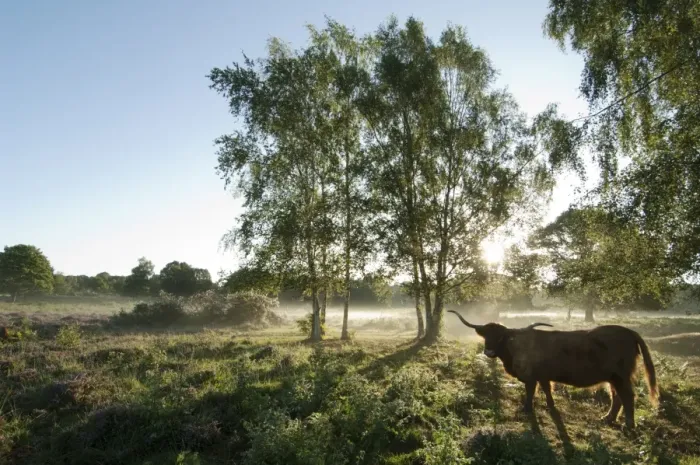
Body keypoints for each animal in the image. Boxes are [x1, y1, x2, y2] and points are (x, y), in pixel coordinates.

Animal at [448, 310, 658, 429]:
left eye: (501, 337)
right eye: (485, 336)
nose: (489, 351)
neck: (513, 350)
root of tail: (629, 332)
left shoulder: (531, 376)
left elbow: (530, 392)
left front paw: (527, 409)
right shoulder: (543, 375)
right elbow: (547, 389)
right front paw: (551, 406)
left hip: (621, 376)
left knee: (628, 396)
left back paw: (628, 425)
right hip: (613, 377)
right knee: (616, 397)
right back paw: (607, 419)